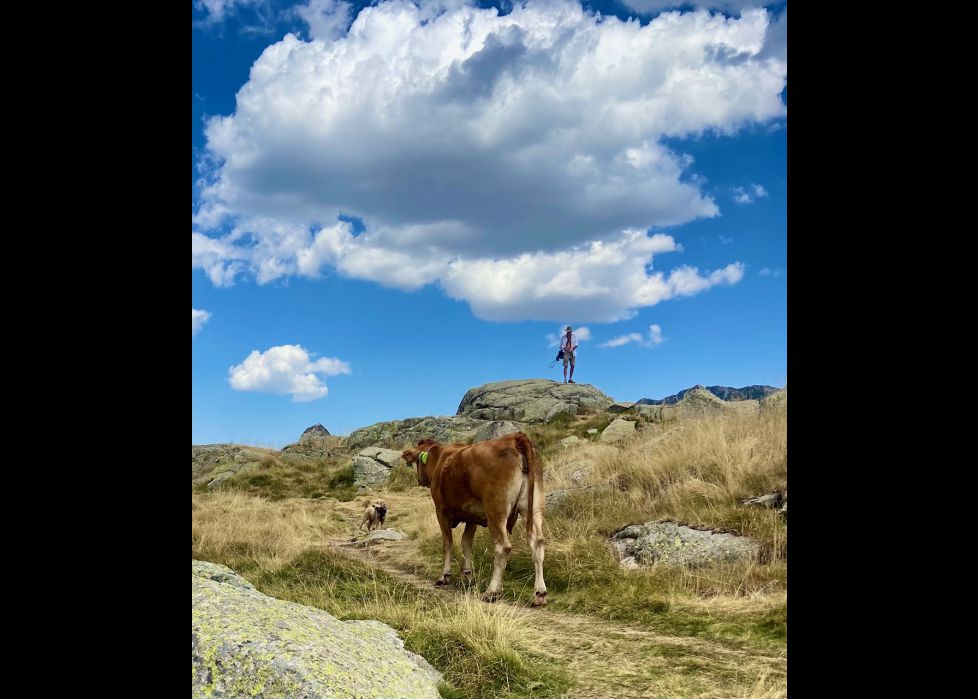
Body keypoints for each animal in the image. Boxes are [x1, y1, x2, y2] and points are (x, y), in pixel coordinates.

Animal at [401, 432, 547, 606]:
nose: (419, 480)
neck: (441, 459)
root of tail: (513, 438)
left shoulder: (441, 511)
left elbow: (448, 542)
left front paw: (444, 576)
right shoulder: (472, 515)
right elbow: (466, 542)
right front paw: (467, 575)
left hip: (496, 510)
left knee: (503, 547)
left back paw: (492, 592)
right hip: (534, 508)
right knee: (537, 543)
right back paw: (539, 593)